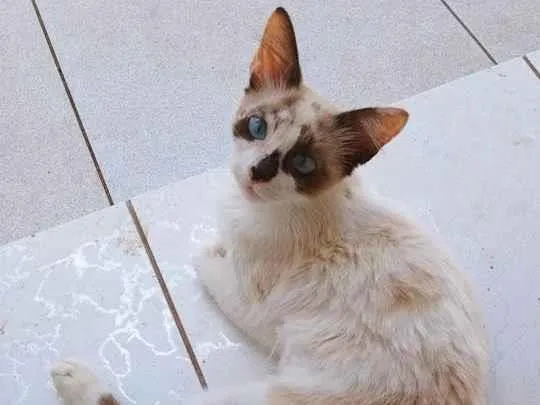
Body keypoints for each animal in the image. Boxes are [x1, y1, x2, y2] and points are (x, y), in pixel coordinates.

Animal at [50, 7, 488, 405]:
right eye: (256, 127)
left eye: (303, 164)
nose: (258, 172)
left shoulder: (258, 309)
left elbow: (206, 261)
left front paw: (212, 250)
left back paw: (71, 378)